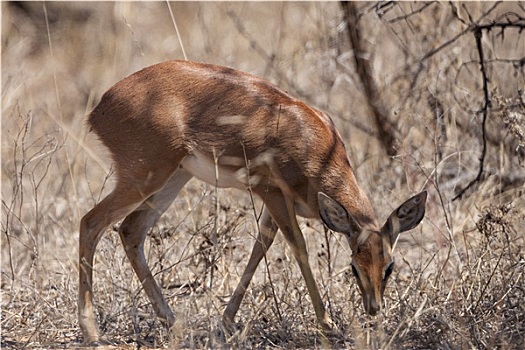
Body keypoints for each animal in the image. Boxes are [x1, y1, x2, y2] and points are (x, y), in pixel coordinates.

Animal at [81, 60, 426, 344]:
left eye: (390, 266)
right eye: (354, 267)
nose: (374, 308)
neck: (312, 144)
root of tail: (100, 108)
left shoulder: (277, 205)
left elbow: (260, 247)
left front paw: (225, 322)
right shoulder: (270, 192)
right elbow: (298, 248)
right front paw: (327, 325)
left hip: (174, 177)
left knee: (131, 230)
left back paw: (173, 322)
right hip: (144, 177)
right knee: (91, 222)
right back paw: (92, 332)